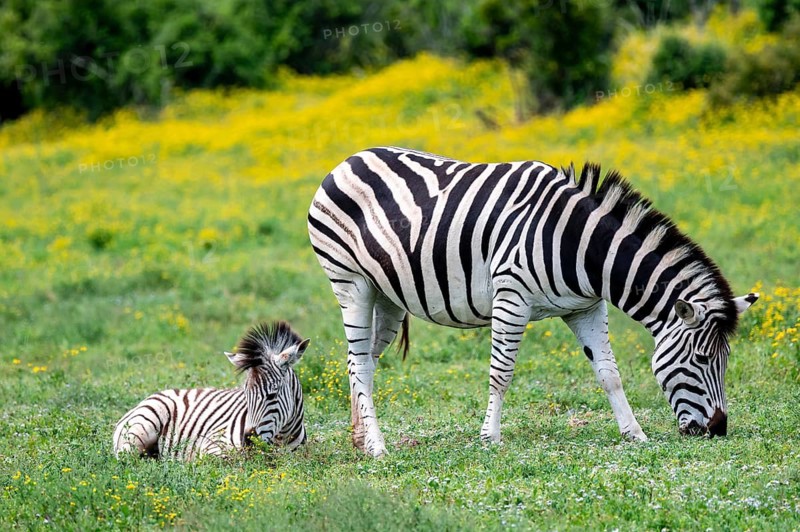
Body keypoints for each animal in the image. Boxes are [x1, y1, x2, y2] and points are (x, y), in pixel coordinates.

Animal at [113, 321, 309, 460]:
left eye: (272, 395)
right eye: (245, 396)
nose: (247, 443)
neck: (282, 438)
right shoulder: (212, 446)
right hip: (142, 428)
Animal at [308, 146, 758, 457]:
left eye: (726, 360)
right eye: (701, 359)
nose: (718, 429)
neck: (579, 245)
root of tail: (349, 159)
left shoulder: (586, 307)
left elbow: (610, 374)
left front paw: (635, 434)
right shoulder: (512, 296)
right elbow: (501, 374)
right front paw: (489, 438)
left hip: (387, 295)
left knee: (362, 363)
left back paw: (360, 439)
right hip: (351, 283)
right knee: (358, 361)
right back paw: (378, 448)